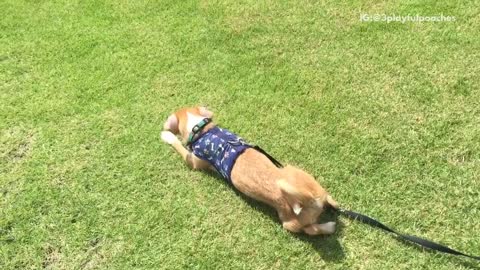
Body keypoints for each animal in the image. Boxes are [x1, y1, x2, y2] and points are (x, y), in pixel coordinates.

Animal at [160, 106, 338, 235]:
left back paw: (329, 226)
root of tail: (311, 199)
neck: (201, 129)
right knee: (329, 201)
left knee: (308, 230)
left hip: (289, 220)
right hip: (302, 176)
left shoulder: (193, 161)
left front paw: (167, 136)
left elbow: (179, 146)